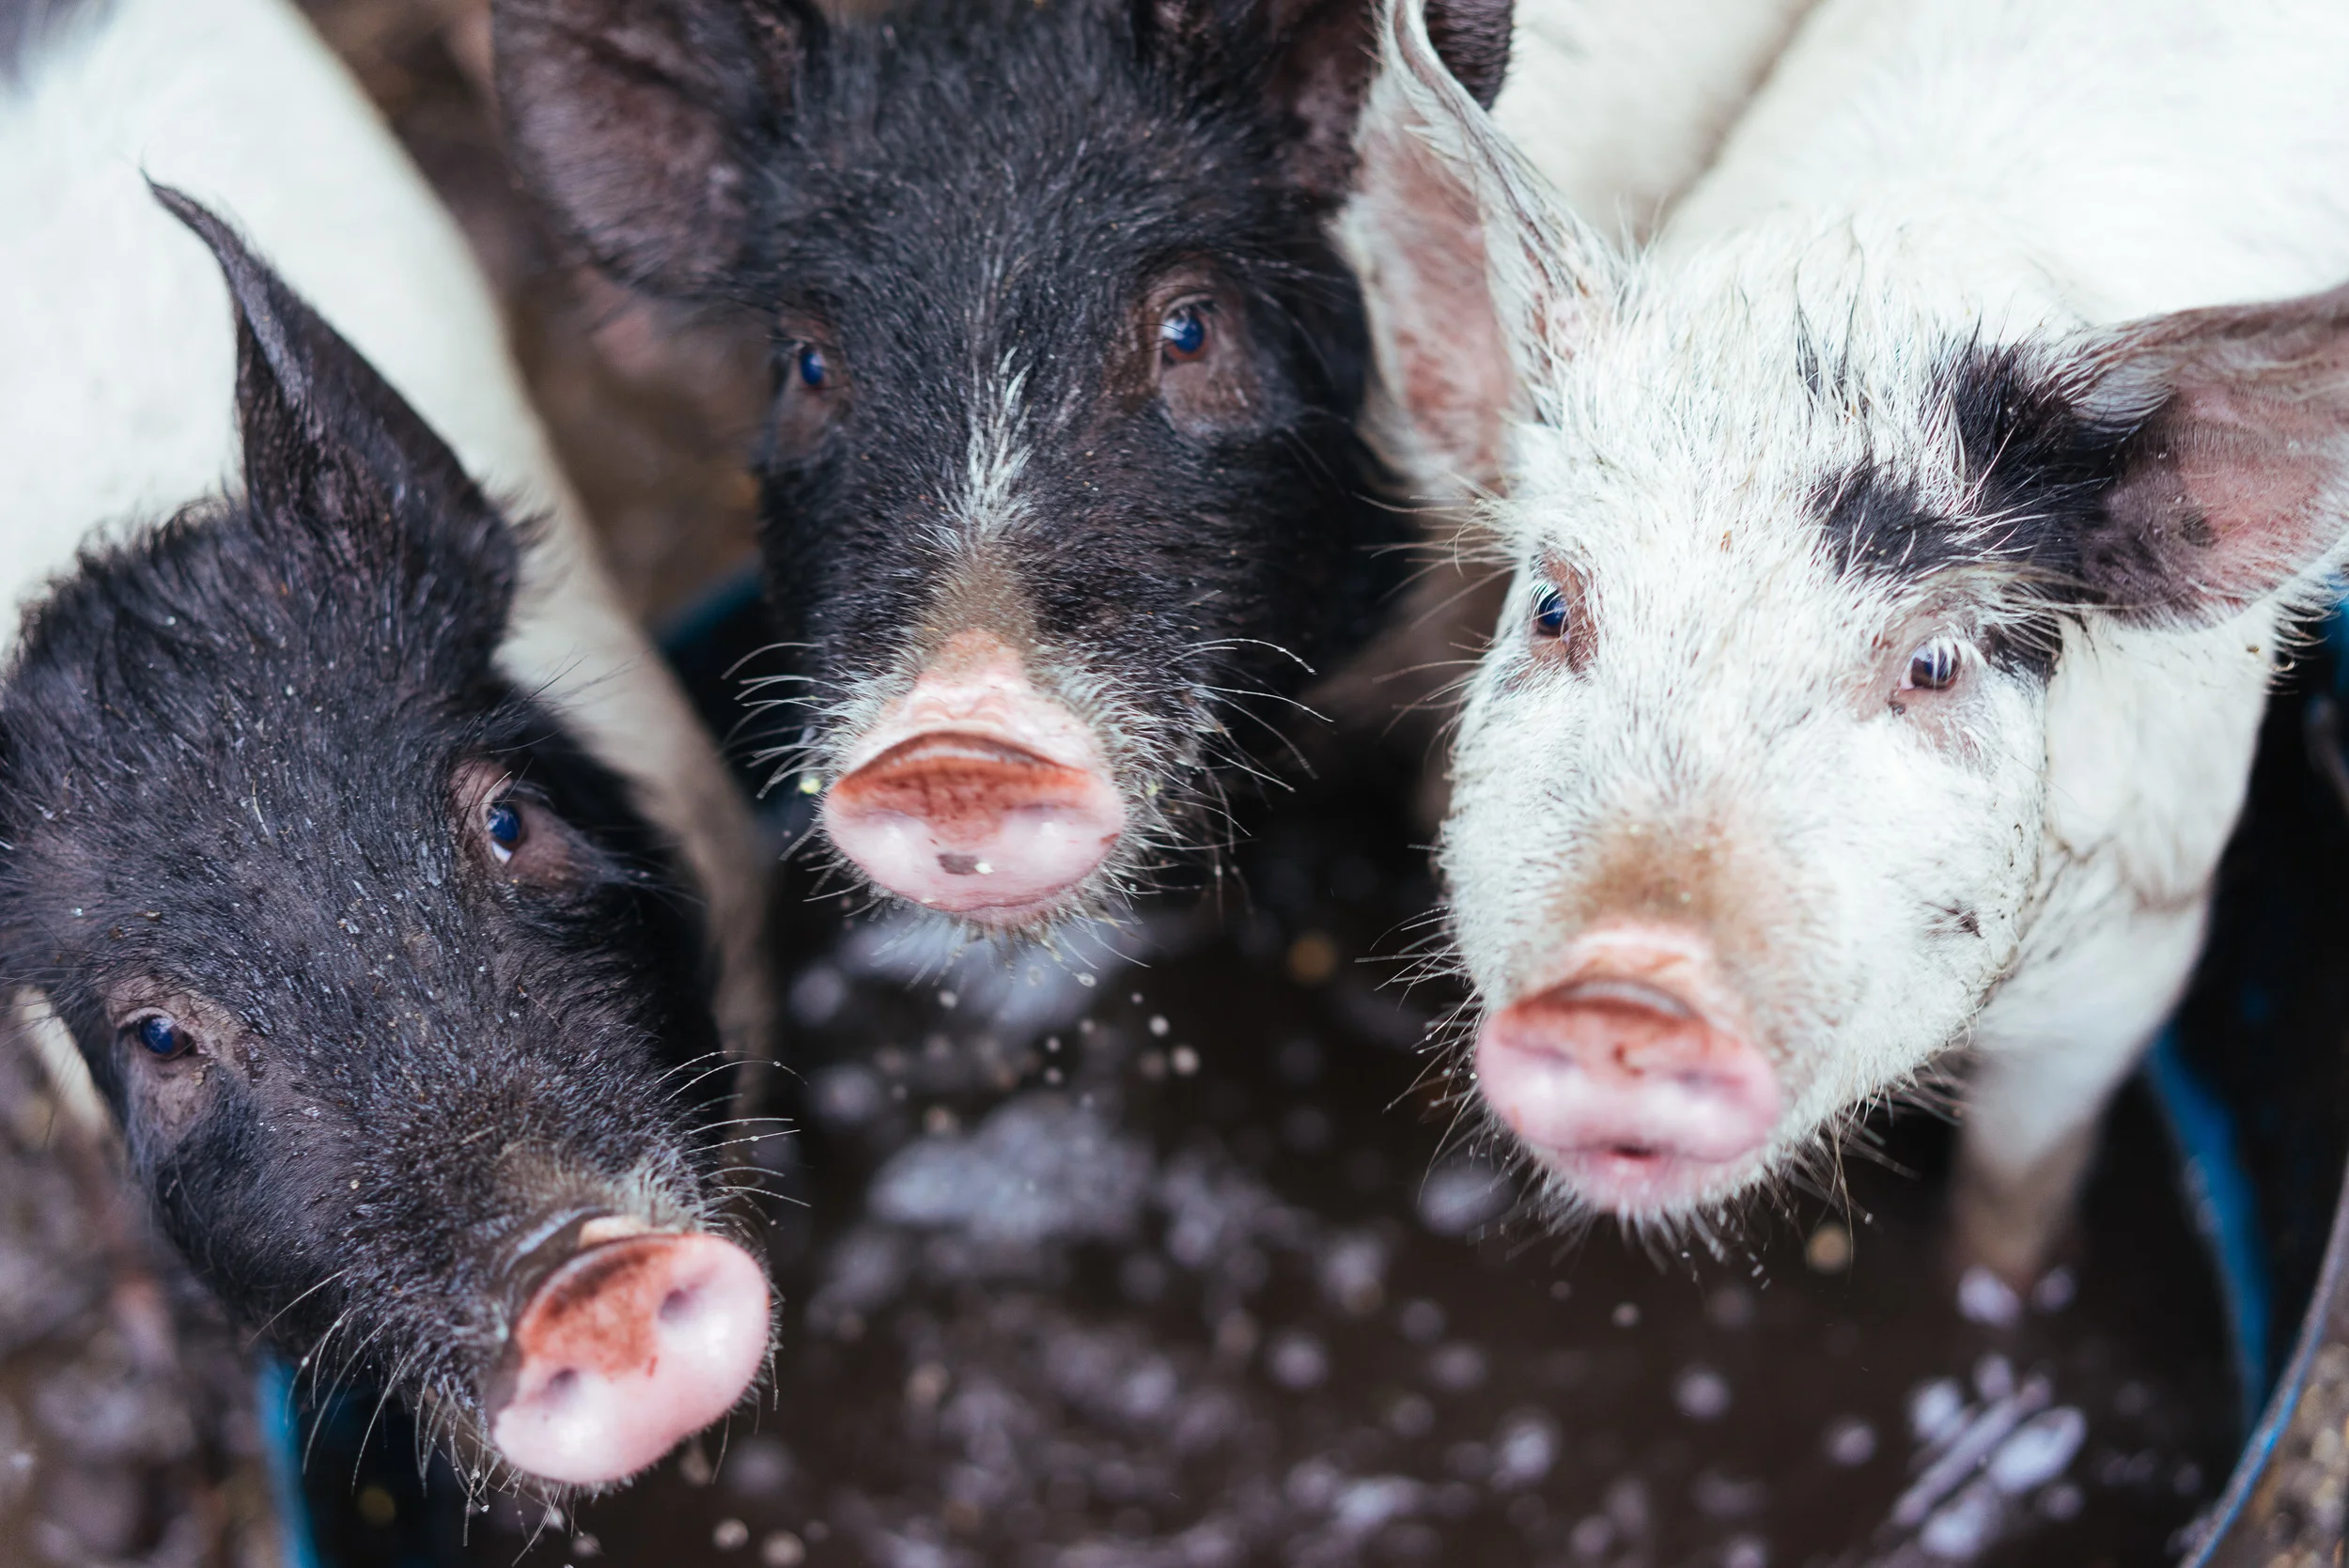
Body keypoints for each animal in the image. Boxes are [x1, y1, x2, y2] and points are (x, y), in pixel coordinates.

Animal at [1353, 0, 2349, 1283]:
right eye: (1555, 609)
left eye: (1932, 663)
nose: (1629, 993)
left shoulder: (2142, 935)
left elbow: (2016, 1186)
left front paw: (1996, 1286)